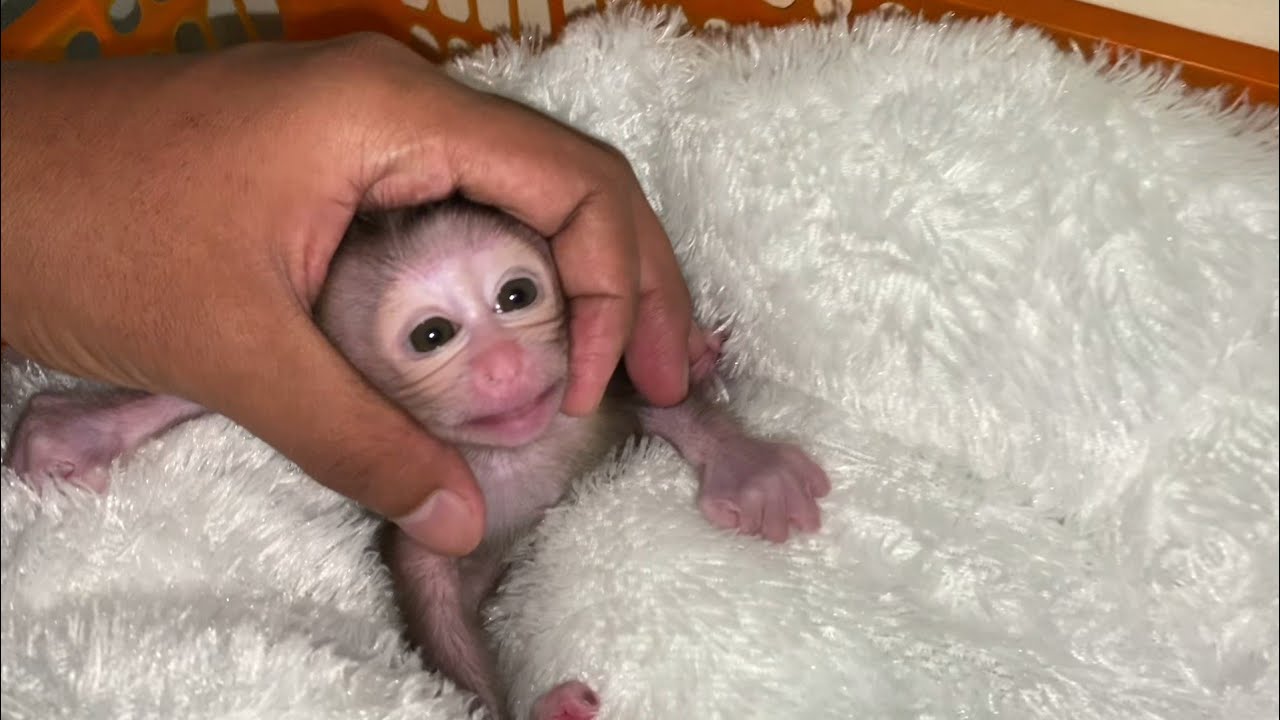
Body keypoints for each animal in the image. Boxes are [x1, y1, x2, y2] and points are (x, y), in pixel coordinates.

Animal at [4, 199, 831, 720]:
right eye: (433, 336)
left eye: (516, 295)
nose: (502, 366)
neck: (509, 454)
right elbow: (433, 610)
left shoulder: (586, 402)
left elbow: (656, 399)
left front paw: (750, 468)